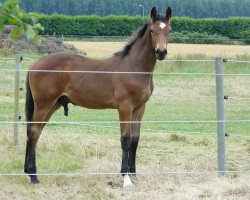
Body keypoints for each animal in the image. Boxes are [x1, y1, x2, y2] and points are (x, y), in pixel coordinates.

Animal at [24, 7, 172, 185]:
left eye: (169, 30)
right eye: (152, 31)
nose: (161, 52)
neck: (134, 67)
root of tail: (34, 64)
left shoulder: (139, 108)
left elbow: (135, 139)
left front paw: (133, 174)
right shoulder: (125, 107)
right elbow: (125, 139)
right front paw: (125, 177)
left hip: (53, 104)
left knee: (35, 131)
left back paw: (28, 172)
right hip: (44, 104)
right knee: (34, 132)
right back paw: (34, 176)